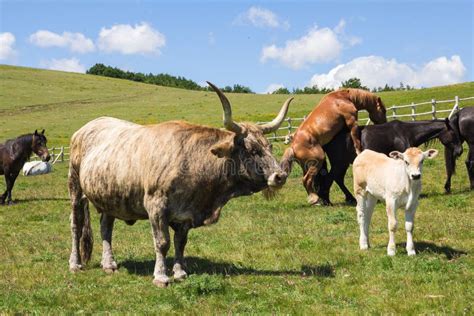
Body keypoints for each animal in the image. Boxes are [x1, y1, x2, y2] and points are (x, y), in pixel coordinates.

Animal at [314, 118, 462, 205]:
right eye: (454, 134)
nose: (459, 151)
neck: (406, 132)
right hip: (339, 164)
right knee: (330, 178)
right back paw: (326, 200)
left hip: (342, 164)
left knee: (338, 179)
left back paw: (349, 198)